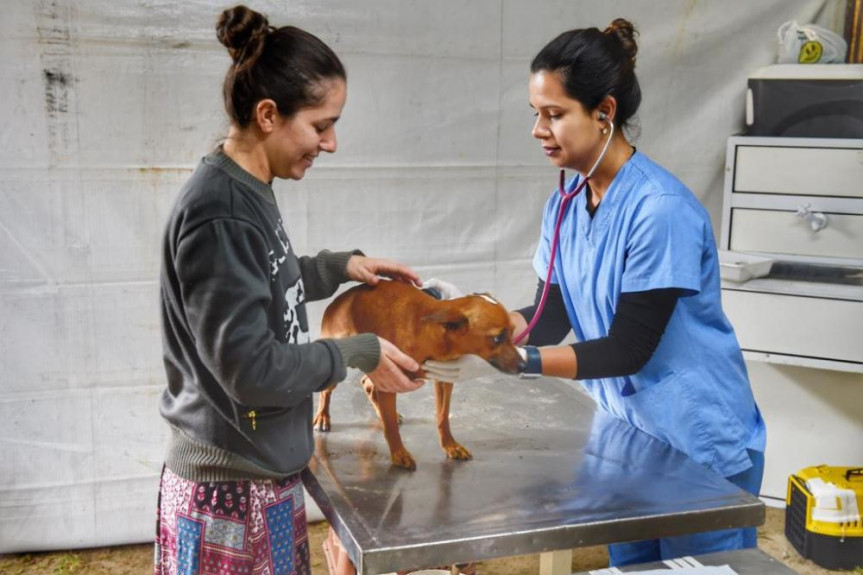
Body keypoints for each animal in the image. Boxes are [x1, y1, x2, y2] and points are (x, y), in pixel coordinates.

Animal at [314, 282, 524, 470]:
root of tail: (337, 302)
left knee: (367, 383)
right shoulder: (390, 381)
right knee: (326, 392)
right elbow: (391, 428)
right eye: (497, 338)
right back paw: (323, 417)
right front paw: (399, 453)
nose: (523, 364)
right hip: (338, 366)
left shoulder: (444, 380)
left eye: (513, 332)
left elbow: (442, 417)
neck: (431, 334)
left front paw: (450, 445)